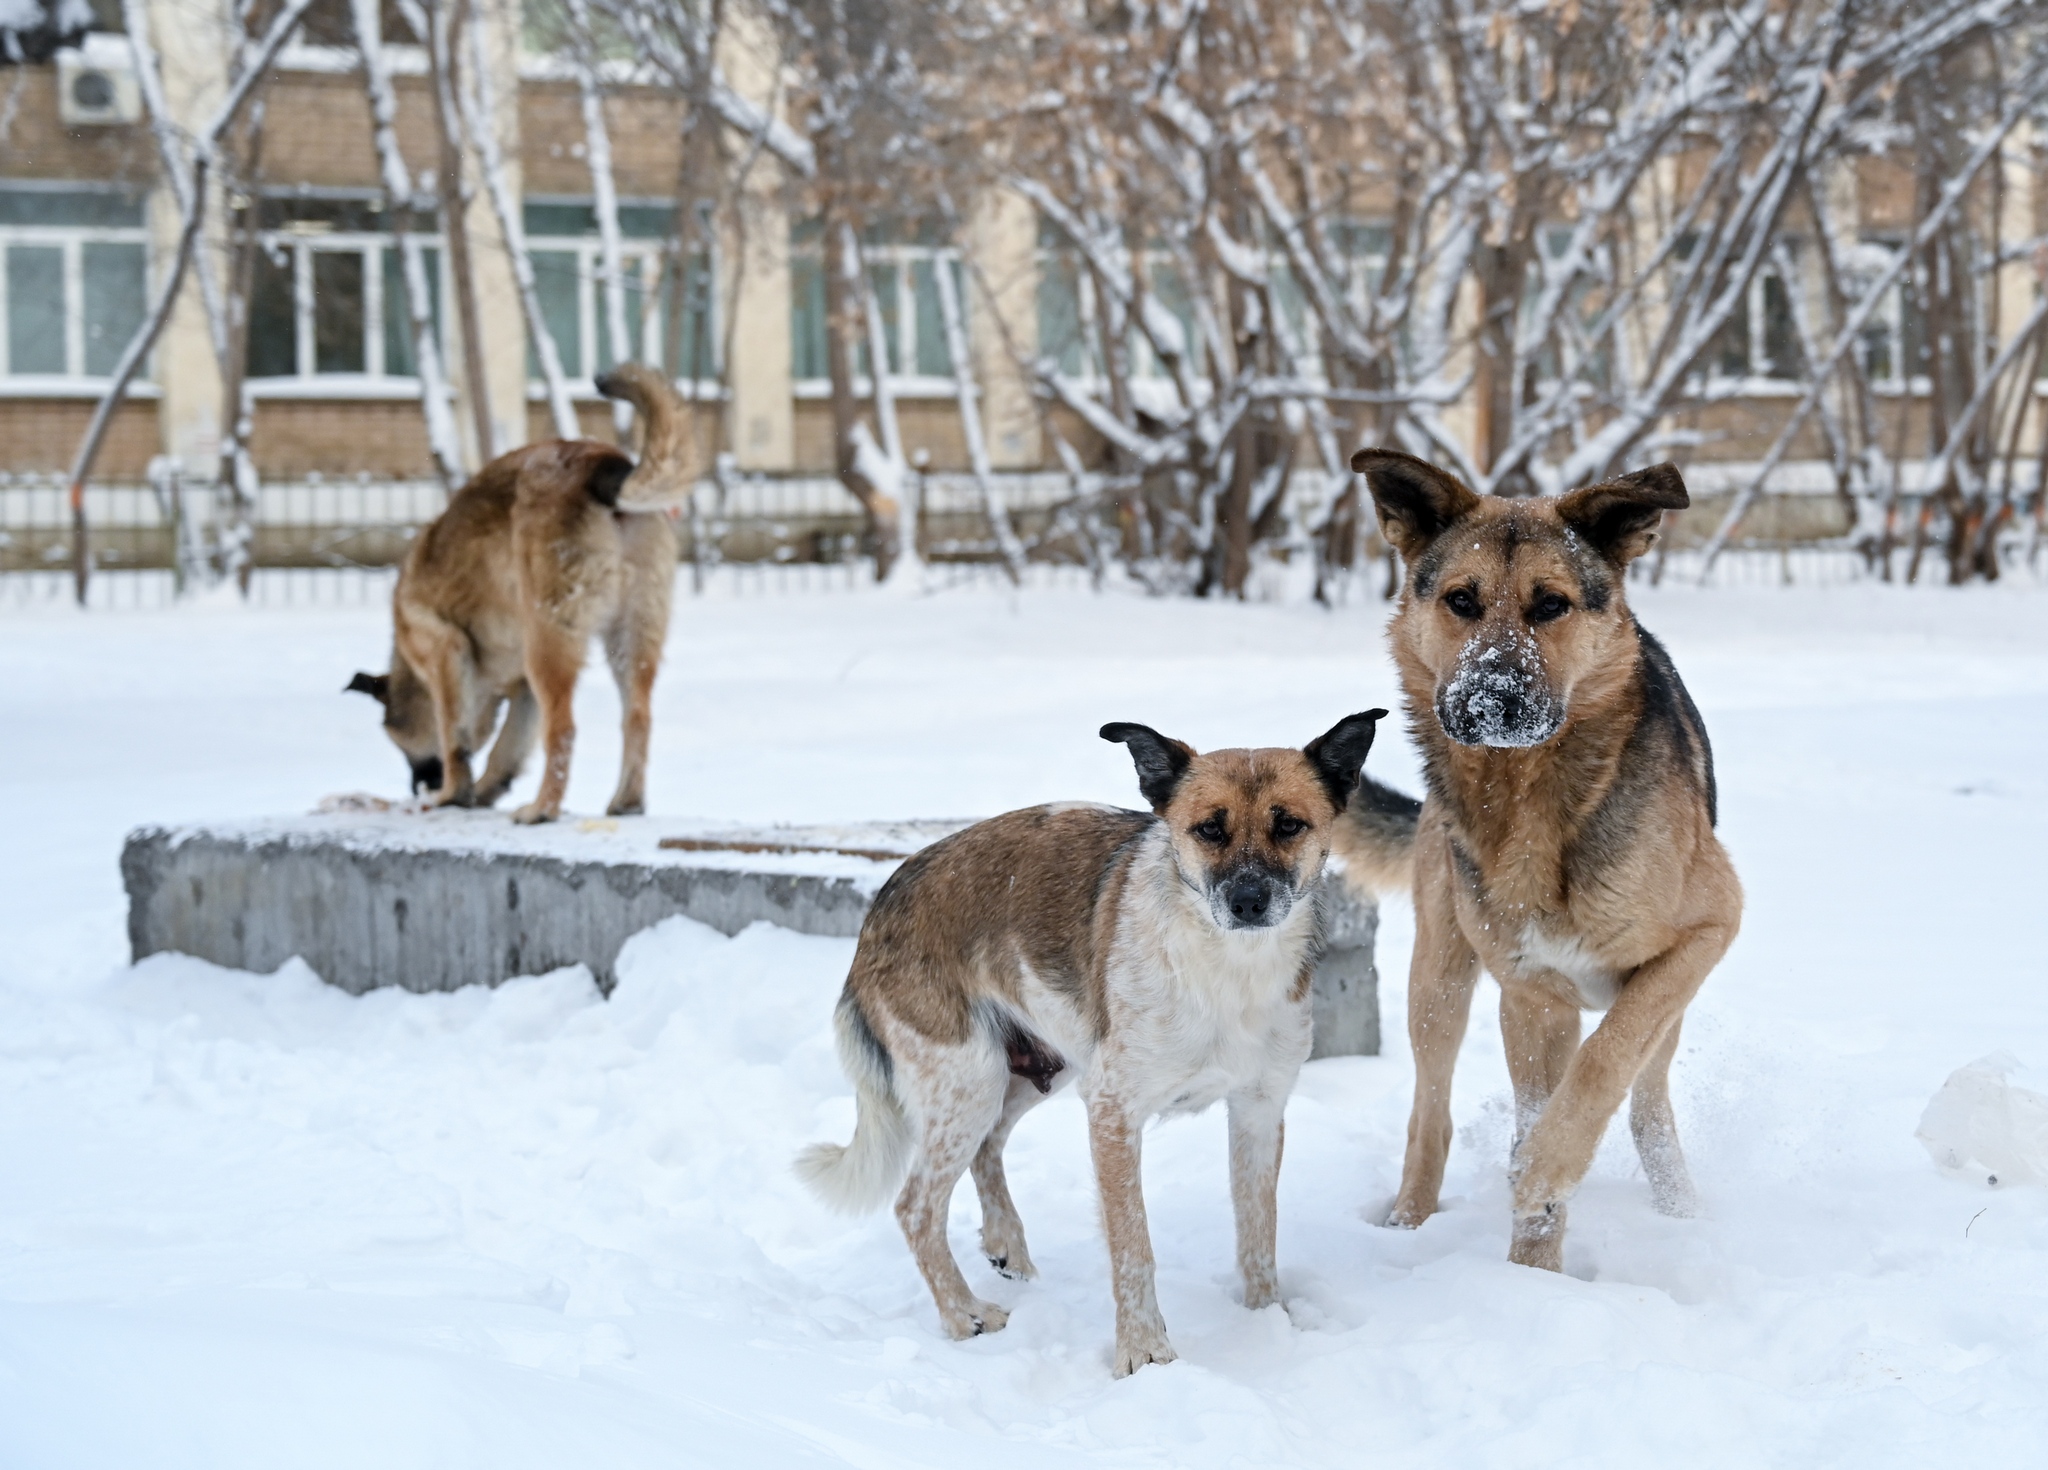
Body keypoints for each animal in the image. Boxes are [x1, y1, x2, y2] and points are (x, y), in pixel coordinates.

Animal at [339, 366, 684, 827]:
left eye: (399, 740)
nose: (418, 786)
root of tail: (600, 465)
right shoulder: (522, 689)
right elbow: (506, 748)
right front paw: (485, 789)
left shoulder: (444, 651)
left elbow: (456, 739)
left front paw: (454, 793)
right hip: (632, 637)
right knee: (637, 717)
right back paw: (626, 801)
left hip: (549, 641)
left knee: (564, 729)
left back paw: (543, 809)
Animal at [798, 712, 1392, 1384]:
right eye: (1208, 829)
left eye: (1289, 824)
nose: (1247, 902)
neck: (1228, 971)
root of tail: (880, 902)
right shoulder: (1113, 1108)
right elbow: (1133, 1246)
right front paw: (1145, 1355)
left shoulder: (1259, 1111)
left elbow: (1258, 1232)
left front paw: (1268, 1324)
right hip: (969, 1078)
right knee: (915, 1206)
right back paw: (965, 1315)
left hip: (1036, 1070)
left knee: (988, 1147)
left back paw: (1005, 1246)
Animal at [1335, 452, 1753, 1277]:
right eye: (1462, 600)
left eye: (1551, 605)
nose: (1492, 701)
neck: (1528, 800)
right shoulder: (1533, 998)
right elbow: (1549, 1097)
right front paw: (1532, 1278)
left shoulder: (1707, 930)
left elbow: (1604, 1061)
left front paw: (1545, 1175)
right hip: (1441, 980)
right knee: (1430, 1114)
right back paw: (1407, 1223)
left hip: (1660, 1011)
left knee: (1646, 1101)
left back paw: (1679, 1210)